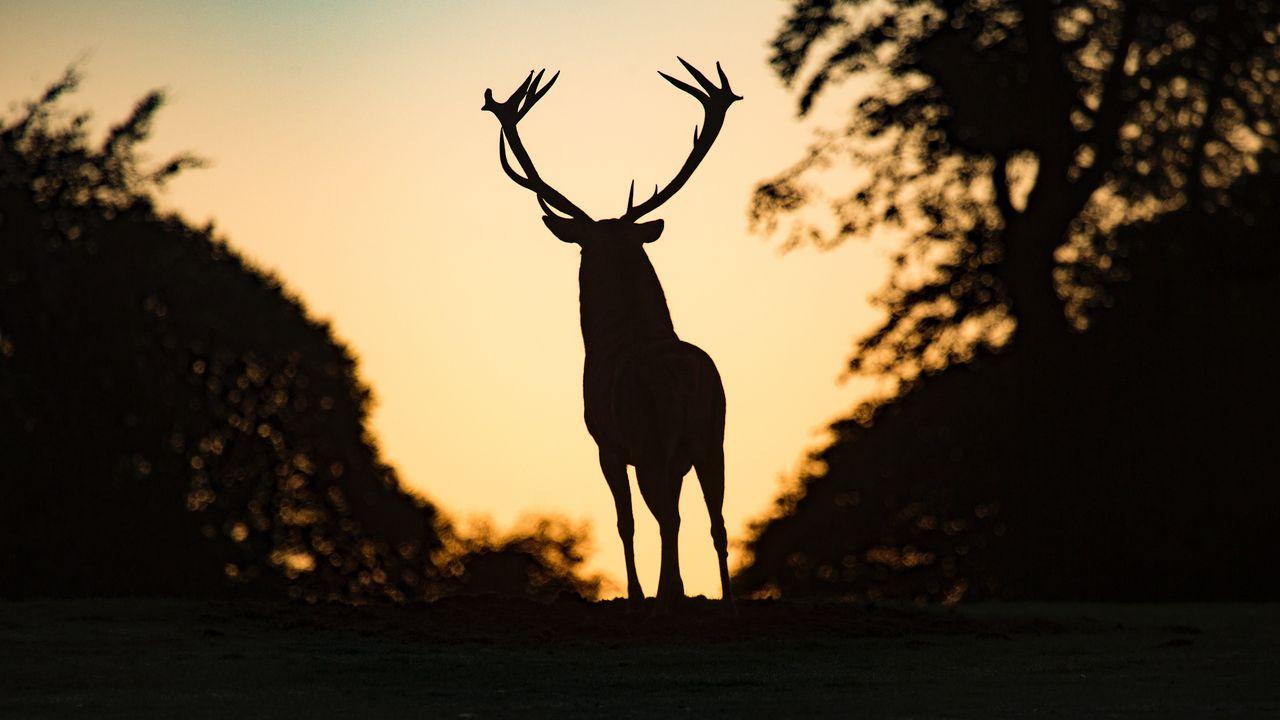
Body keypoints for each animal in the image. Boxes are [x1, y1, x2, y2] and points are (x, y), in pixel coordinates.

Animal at [482, 59, 740, 612]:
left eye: (585, 246)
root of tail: (682, 378)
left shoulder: (605, 442)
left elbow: (624, 522)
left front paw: (638, 593)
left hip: (651, 439)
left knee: (665, 517)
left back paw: (668, 593)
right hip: (715, 436)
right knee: (717, 521)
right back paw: (725, 597)